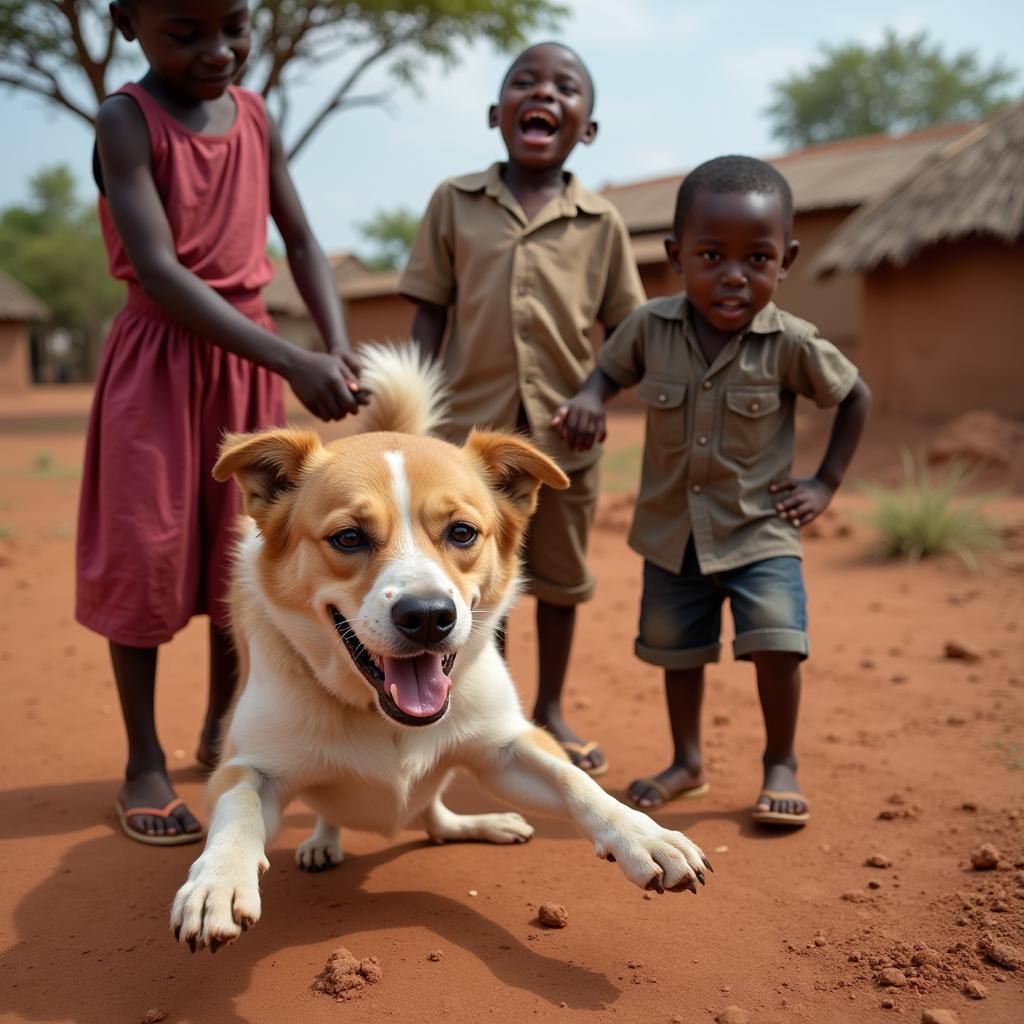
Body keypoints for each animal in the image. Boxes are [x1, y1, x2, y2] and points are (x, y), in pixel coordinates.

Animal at [169, 348, 712, 954]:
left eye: (462, 532)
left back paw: (482, 825)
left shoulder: (507, 745)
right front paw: (218, 882)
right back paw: (323, 842)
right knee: (340, 816)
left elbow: (576, 780)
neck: (380, 715)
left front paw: (643, 834)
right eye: (349, 538)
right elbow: (237, 808)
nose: (428, 616)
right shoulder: (247, 766)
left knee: (433, 818)